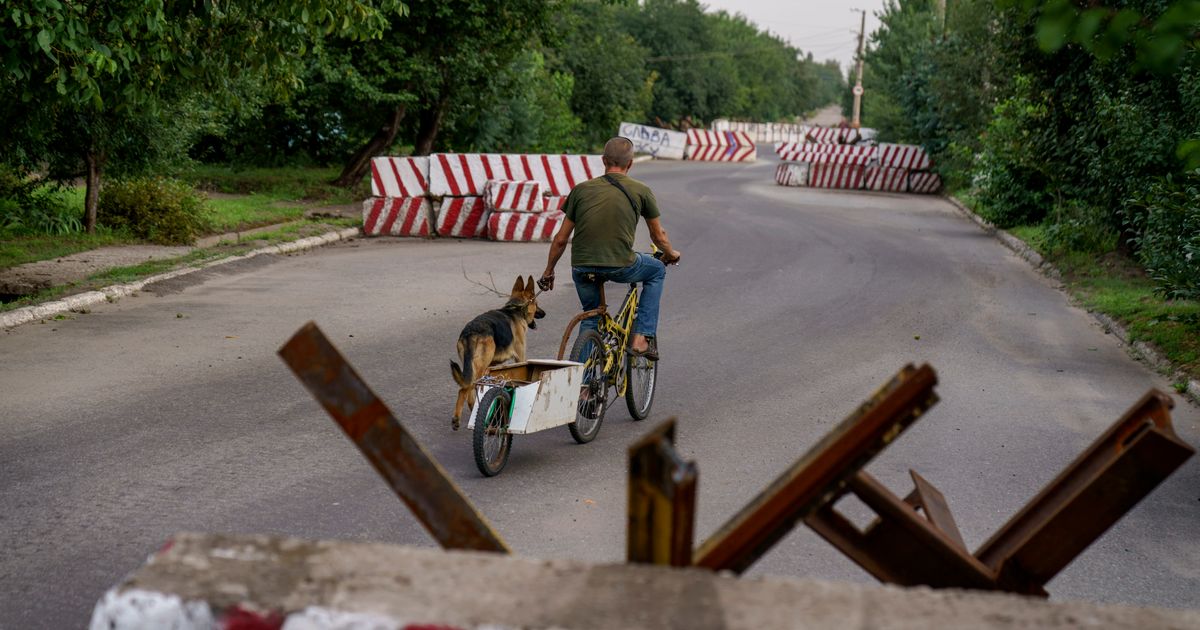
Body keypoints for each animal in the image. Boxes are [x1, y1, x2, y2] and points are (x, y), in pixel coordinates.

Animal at [451, 274, 544, 427]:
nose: (544, 313)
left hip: (474, 367)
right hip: (480, 368)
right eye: (537, 303)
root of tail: (471, 332)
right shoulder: (520, 357)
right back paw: (458, 419)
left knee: (468, 389)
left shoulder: (492, 366)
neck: (516, 309)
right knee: (465, 389)